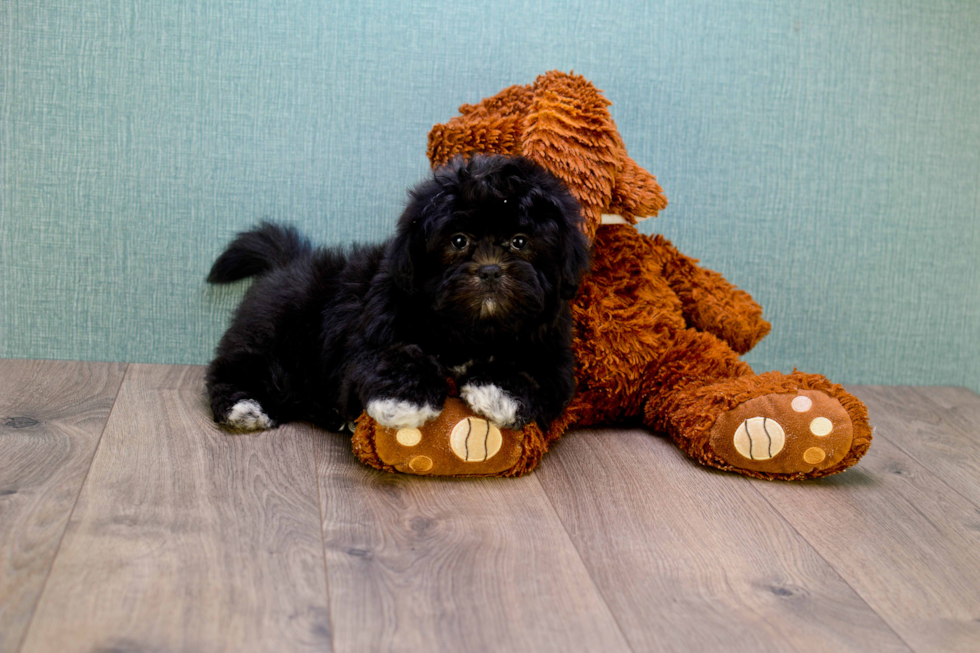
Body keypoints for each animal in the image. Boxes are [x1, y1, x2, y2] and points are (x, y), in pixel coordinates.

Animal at [207, 155, 588, 436]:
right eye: (458, 240)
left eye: (520, 241)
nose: (491, 270)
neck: (470, 330)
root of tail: (288, 260)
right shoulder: (373, 333)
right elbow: (394, 356)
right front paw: (404, 399)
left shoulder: (553, 356)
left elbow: (533, 375)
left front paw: (498, 391)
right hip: (272, 336)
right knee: (233, 370)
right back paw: (244, 407)